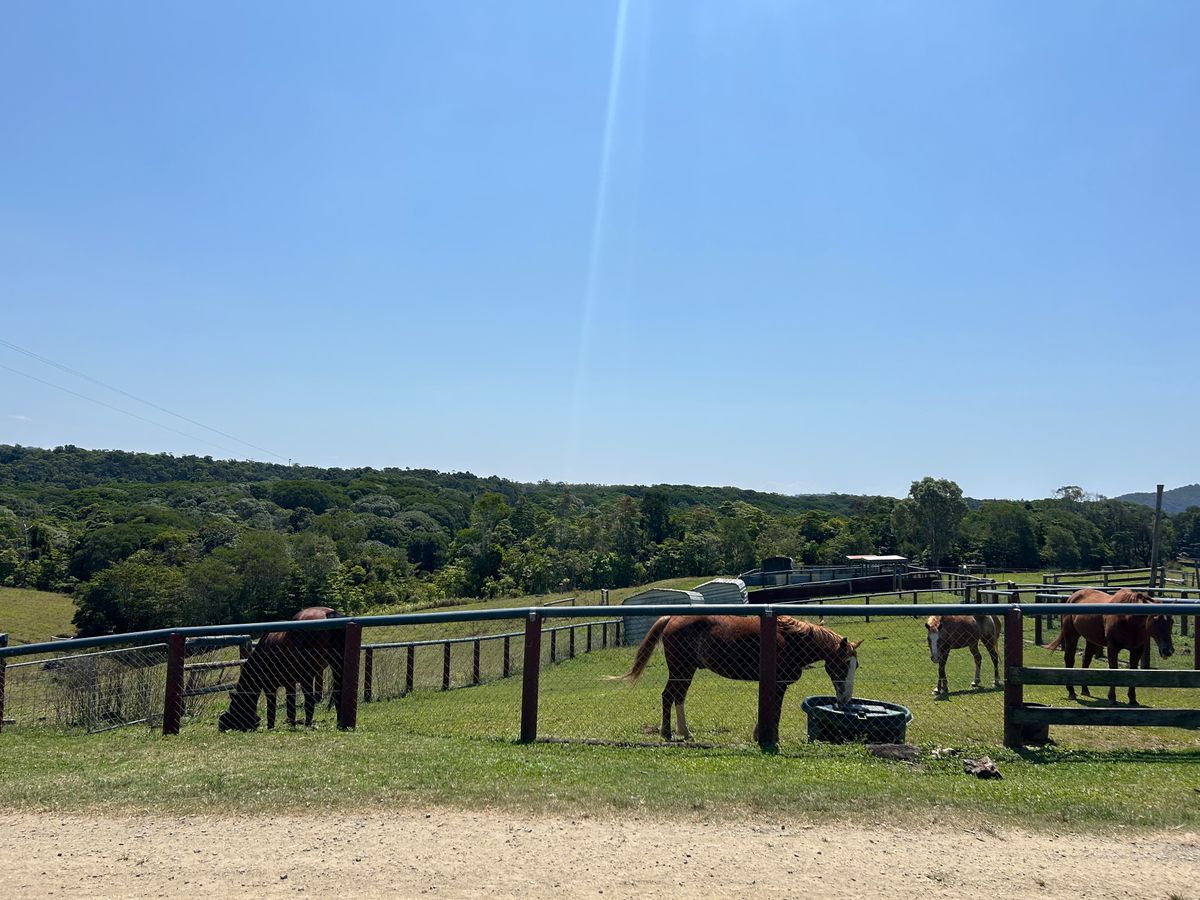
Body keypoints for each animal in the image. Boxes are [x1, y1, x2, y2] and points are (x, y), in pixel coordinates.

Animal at [612, 614, 862, 742]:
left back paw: (685, 732)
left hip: (687, 671)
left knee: (679, 697)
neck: (789, 639)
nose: (845, 699)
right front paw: (768, 736)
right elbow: (776, 711)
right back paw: (668, 733)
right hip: (679, 670)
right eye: (842, 664)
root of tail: (672, 618)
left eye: (856, 666)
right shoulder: (779, 684)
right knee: (668, 696)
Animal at [1045, 589, 1174, 705]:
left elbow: (1133, 671)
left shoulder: (1137, 650)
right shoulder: (1113, 648)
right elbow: (1113, 669)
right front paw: (1112, 698)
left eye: (1171, 621)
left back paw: (1085, 690)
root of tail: (1072, 597)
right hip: (1071, 636)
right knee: (1069, 660)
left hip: (1091, 640)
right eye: (1156, 620)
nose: (1168, 650)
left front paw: (1132, 699)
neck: (1128, 619)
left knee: (1086, 659)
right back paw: (1071, 691)